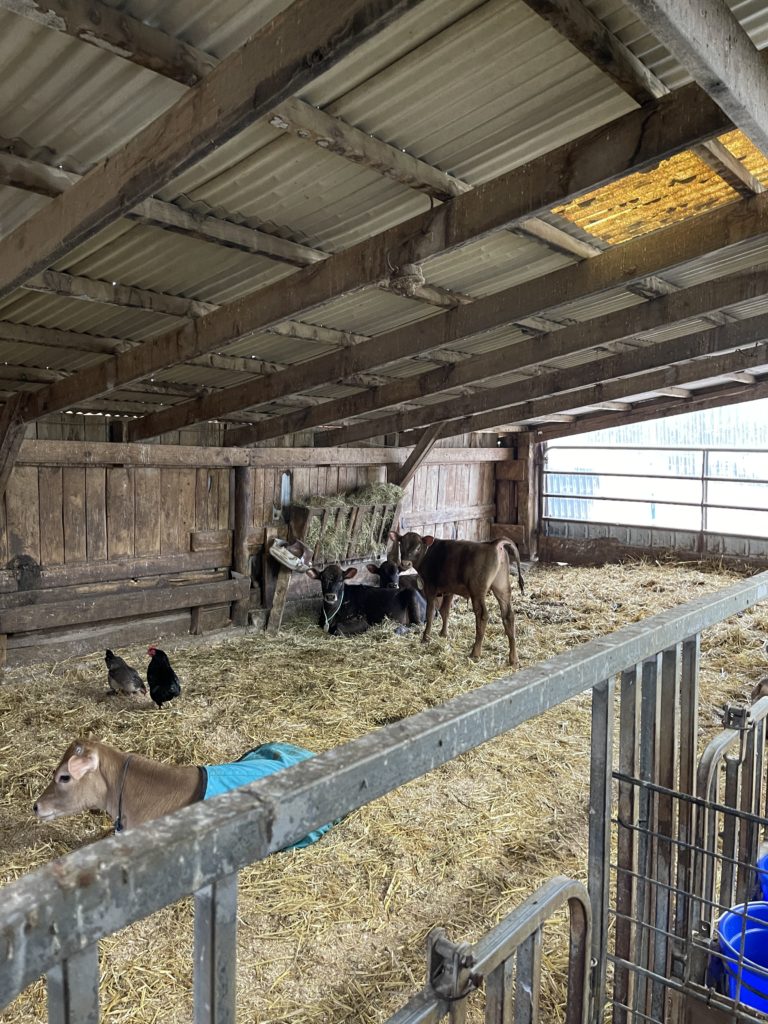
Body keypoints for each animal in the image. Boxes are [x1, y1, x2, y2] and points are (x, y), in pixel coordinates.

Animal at [387, 532, 528, 667]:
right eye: (401, 544)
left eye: (417, 547)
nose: (405, 563)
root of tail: (494, 543)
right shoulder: (449, 590)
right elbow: (445, 611)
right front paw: (444, 634)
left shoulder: (430, 588)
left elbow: (430, 613)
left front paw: (426, 637)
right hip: (502, 588)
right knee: (508, 616)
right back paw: (514, 659)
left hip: (477, 591)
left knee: (482, 616)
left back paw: (475, 653)